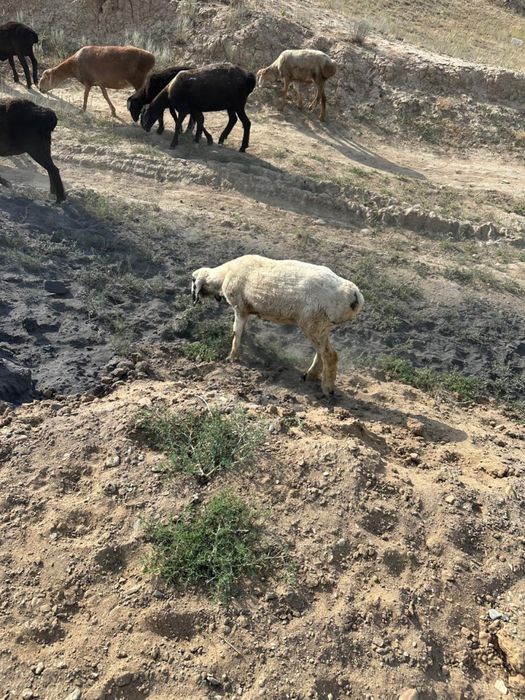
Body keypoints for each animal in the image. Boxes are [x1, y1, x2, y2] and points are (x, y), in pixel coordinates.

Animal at [191, 255, 364, 396]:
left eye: (193, 282)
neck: (224, 275)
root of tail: (353, 293)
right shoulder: (246, 310)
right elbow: (243, 331)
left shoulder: (239, 308)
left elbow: (236, 333)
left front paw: (232, 358)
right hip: (322, 325)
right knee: (321, 353)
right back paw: (309, 376)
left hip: (313, 322)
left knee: (330, 355)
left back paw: (327, 389)